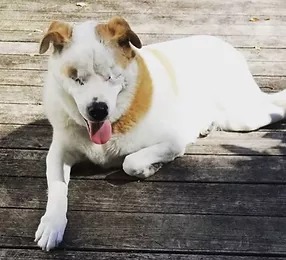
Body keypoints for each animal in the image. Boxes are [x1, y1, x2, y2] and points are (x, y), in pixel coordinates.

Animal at [34, 15, 284, 250]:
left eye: (112, 76)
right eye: (77, 79)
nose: (98, 110)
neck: (115, 122)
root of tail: (225, 44)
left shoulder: (173, 141)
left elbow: (130, 162)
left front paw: (150, 168)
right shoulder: (57, 153)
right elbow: (57, 186)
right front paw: (52, 224)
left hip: (241, 116)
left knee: (274, 109)